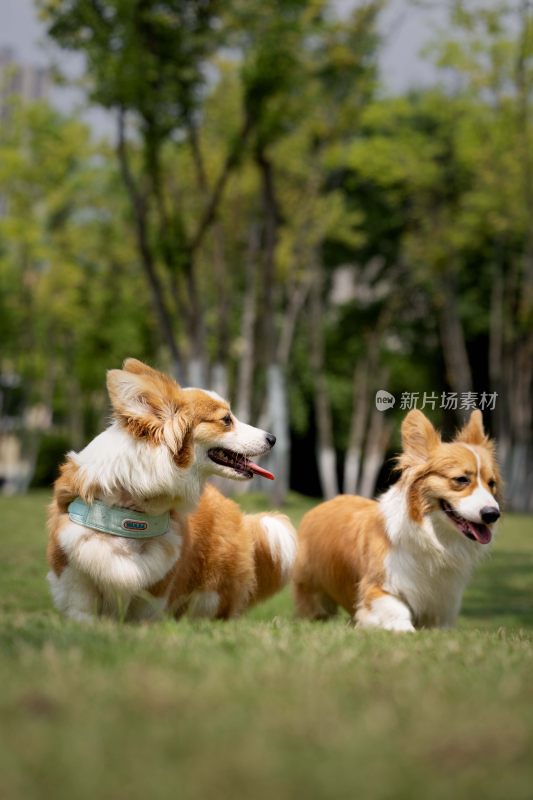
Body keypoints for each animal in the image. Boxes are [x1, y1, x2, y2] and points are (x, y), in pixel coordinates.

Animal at [47, 360, 294, 620]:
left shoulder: (156, 584)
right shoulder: (74, 572)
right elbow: (82, 611)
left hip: (211, 593)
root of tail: (241, 517)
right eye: (226, 419)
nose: (273, 438)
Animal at [294, 412, 500, 632]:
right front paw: (406, 630)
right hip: (313, 591)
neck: (434, 537)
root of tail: (320, 505)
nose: (492, 514)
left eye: (491, 483)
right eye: (461, 479)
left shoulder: (443, 602)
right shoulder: (379, 586)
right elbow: (397, 609)